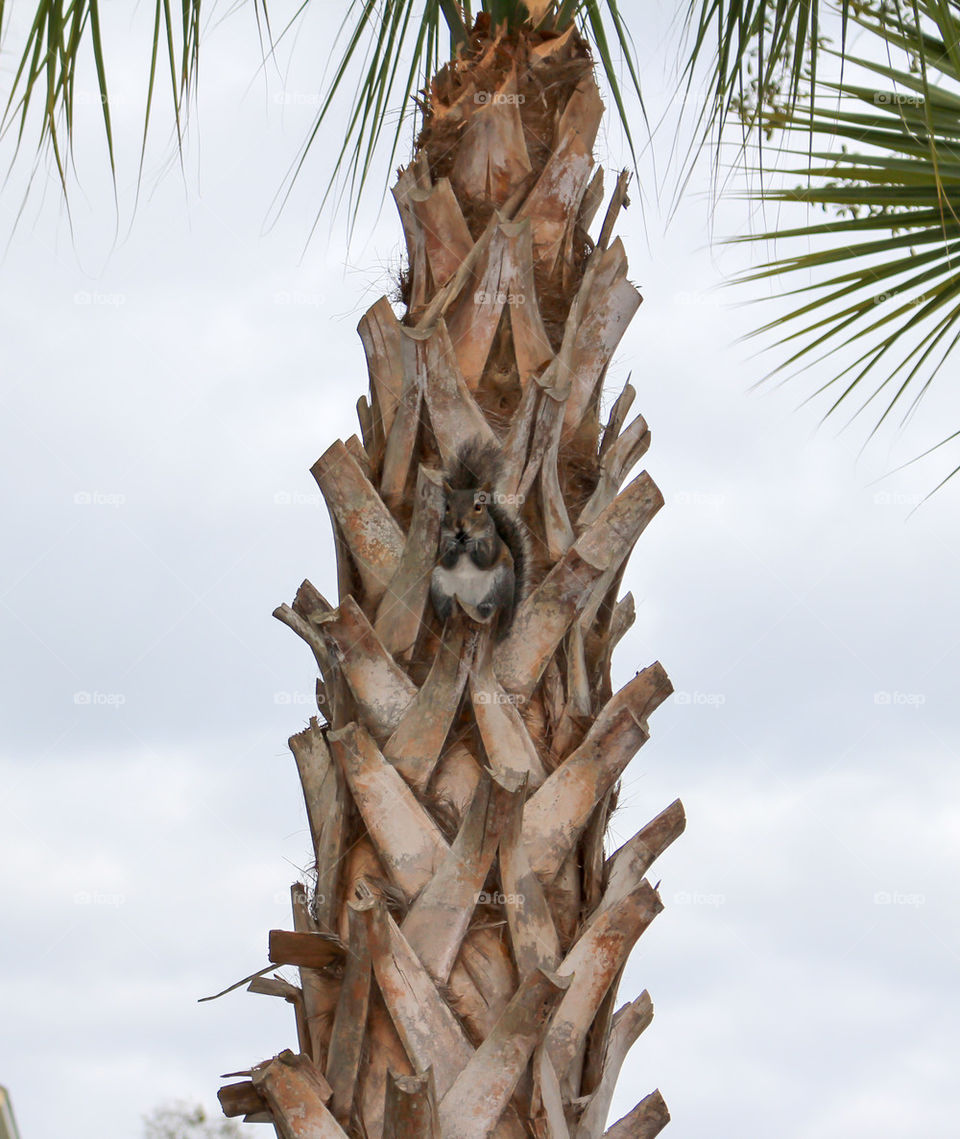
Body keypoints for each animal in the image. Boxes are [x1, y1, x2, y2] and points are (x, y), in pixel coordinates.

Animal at [429, 443, 528, 639]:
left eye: (478, 507)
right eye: (447, 507)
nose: (459, 524)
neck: (464, 539)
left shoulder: (493, 542)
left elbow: (487, 559)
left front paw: (475, 546)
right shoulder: (442, 537)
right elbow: (446, 560)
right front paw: (451, 547)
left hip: (500, 580)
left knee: (492, 602)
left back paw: (485, 607)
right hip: (438, 581)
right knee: (445, 603)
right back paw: (446, 609)